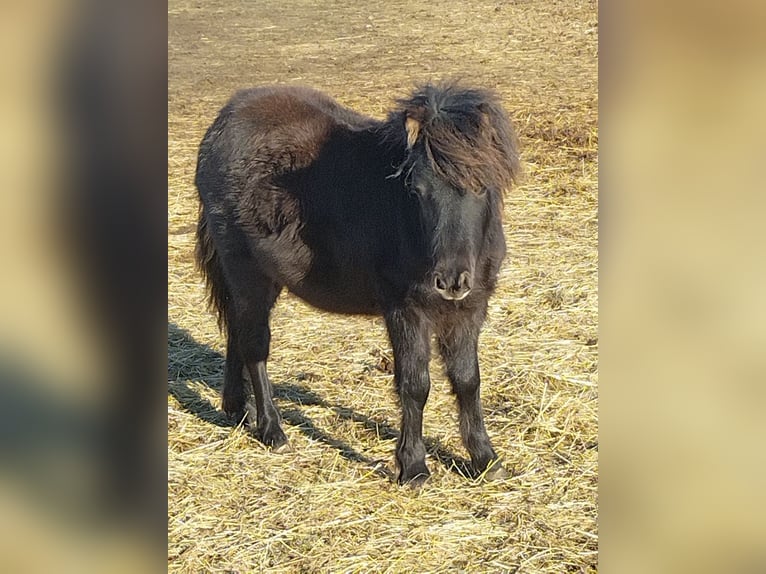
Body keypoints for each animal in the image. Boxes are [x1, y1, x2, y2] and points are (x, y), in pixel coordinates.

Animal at [198, 82, 520, 486]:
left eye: (480, 186)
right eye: (417, 189)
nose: (450, 281)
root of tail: (222, 123)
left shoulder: (469, 308)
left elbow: (467, 381)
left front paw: (485, 460)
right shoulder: (406, 311)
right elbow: (415, 384)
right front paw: (413, 467)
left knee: (236, 331)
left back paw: (238, 410)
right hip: (247, 272)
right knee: (254, 346)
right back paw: (272, 430)